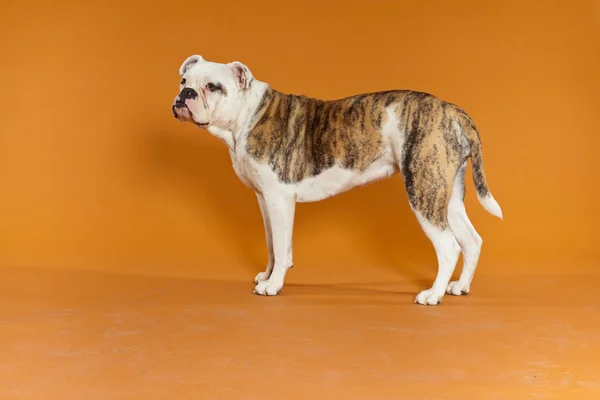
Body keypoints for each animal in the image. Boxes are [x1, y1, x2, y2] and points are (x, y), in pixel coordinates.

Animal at [170, 54, 502, 304]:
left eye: (213, 86)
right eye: (184, 80)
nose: (185, 94)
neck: (245, 116)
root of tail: (454, 111)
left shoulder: (279, 198)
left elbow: (280, 241)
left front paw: (273, 285)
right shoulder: (265, 199)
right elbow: (272, 242)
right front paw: (269, 273)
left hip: (423, 188)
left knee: (448, 245)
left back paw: (432, 294)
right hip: (446, 192)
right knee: (471, 240)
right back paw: (459, 287)